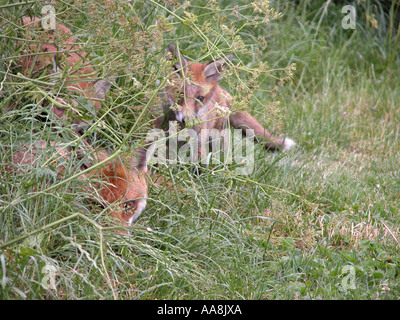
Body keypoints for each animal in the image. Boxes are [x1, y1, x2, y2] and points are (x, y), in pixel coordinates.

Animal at [155, 43, 296, 156]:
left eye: (200, 98)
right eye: (179, 95)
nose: (187, 120)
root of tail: (221, 91)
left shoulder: (199, 141)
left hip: (219, 135)